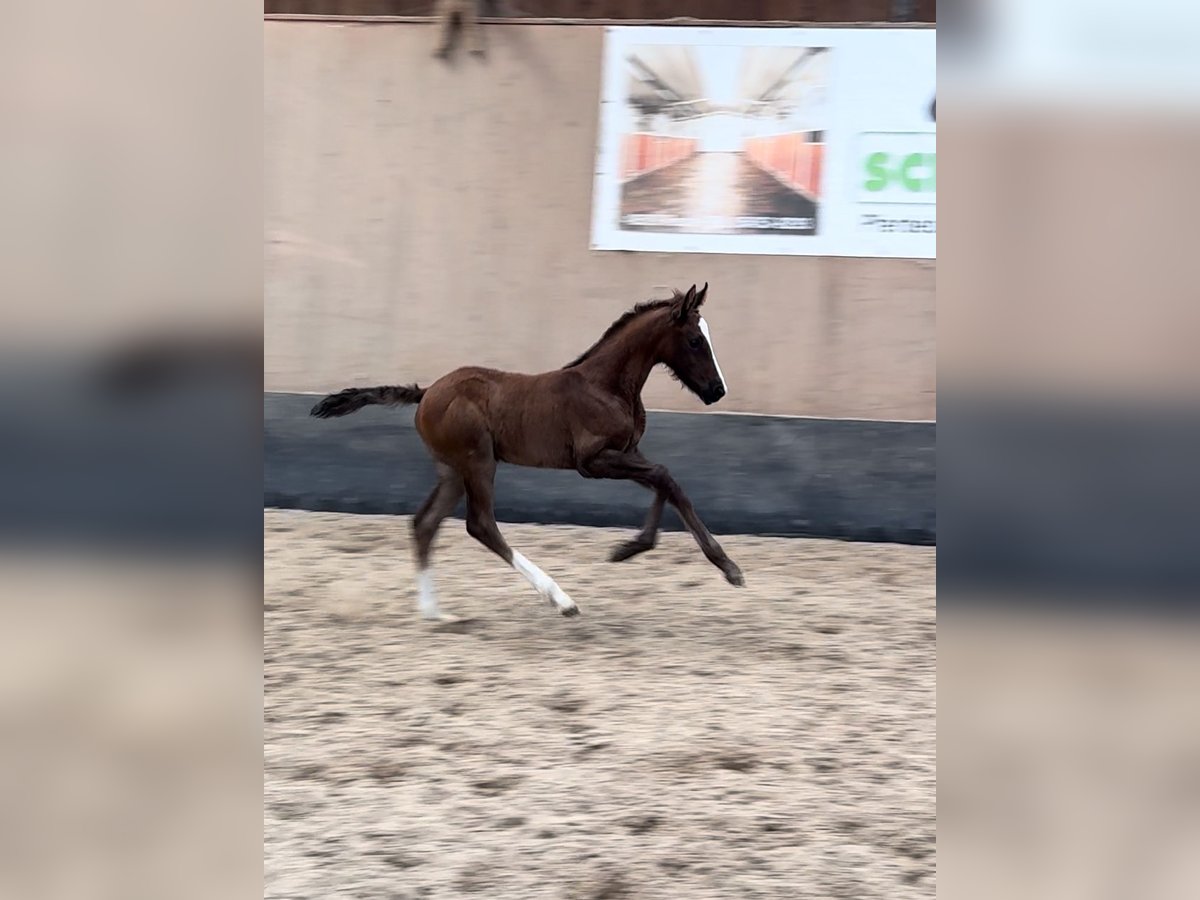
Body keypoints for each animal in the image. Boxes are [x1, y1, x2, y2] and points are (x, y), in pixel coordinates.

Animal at [309, 283, 739, 619]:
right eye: (695, 340)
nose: (718, 391)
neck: (606, 385)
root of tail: (427, 392)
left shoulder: (629, 452)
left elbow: (667, 483)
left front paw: (640, 550)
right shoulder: (592, 461)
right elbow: (664, 475)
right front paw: (709, 562)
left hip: (452, 470)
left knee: (424, 523)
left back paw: (434, 613)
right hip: (478, 461)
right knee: (480, 524)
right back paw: (560, 599)